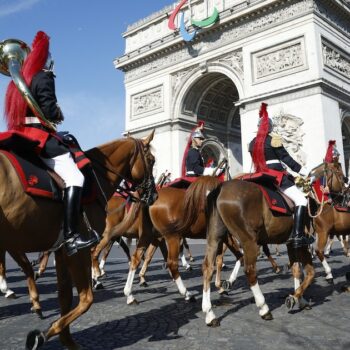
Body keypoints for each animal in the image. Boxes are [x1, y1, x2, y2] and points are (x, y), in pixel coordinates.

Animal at [0, 132, 154, 350]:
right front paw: (43, 334)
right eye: (152, 160)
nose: (154, 194)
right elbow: (86, 299)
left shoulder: (61, 249)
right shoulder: (78, 250)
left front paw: (65, 339)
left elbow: (65, 297)